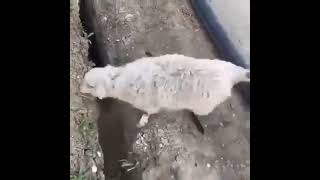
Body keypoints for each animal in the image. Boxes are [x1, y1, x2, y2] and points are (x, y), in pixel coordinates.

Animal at [80, 54, 250, 131]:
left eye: (90, 85)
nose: (78, 88)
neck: (120, 80)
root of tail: (230, 74)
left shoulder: (149, 103)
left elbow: (149, 113)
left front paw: (142, 121)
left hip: (203, 106)